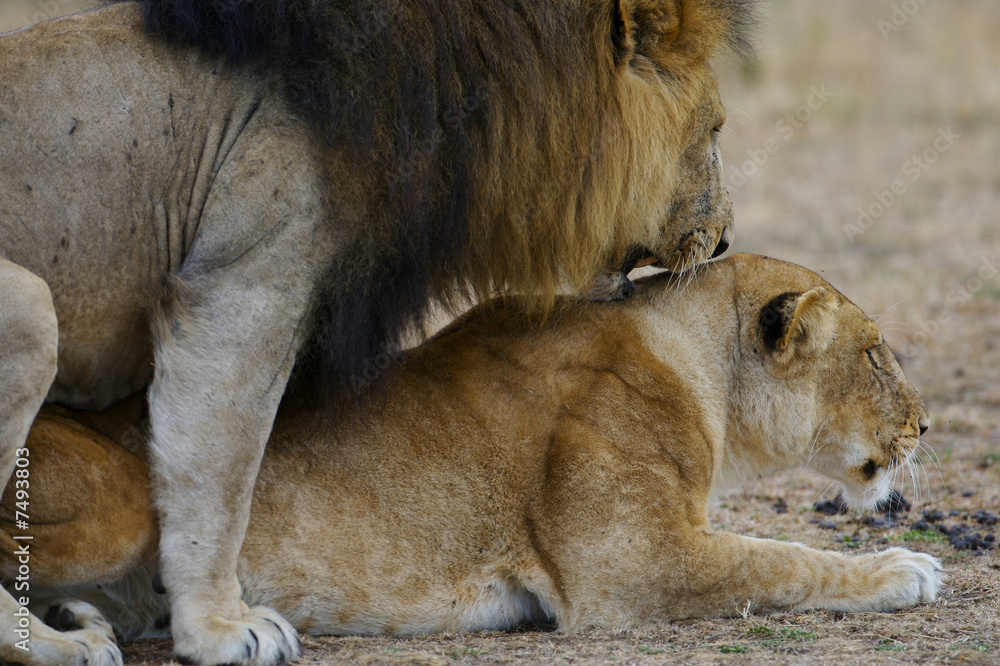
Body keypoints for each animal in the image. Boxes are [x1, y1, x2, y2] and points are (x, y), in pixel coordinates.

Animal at [0, 1, 755, 663]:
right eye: (717, 130)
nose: (723, 243)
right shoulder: (240, 284)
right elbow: (217, 478)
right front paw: (219, 630)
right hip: (33, 310)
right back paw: (58, 643)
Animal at [2, 254, 942, 661]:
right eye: (874, 353)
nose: (927, 427)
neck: (696, 366)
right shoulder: (630, 565)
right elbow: (783, 558)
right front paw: (904, 570)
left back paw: (84, 618)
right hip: (121, 497)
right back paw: (71, 643)